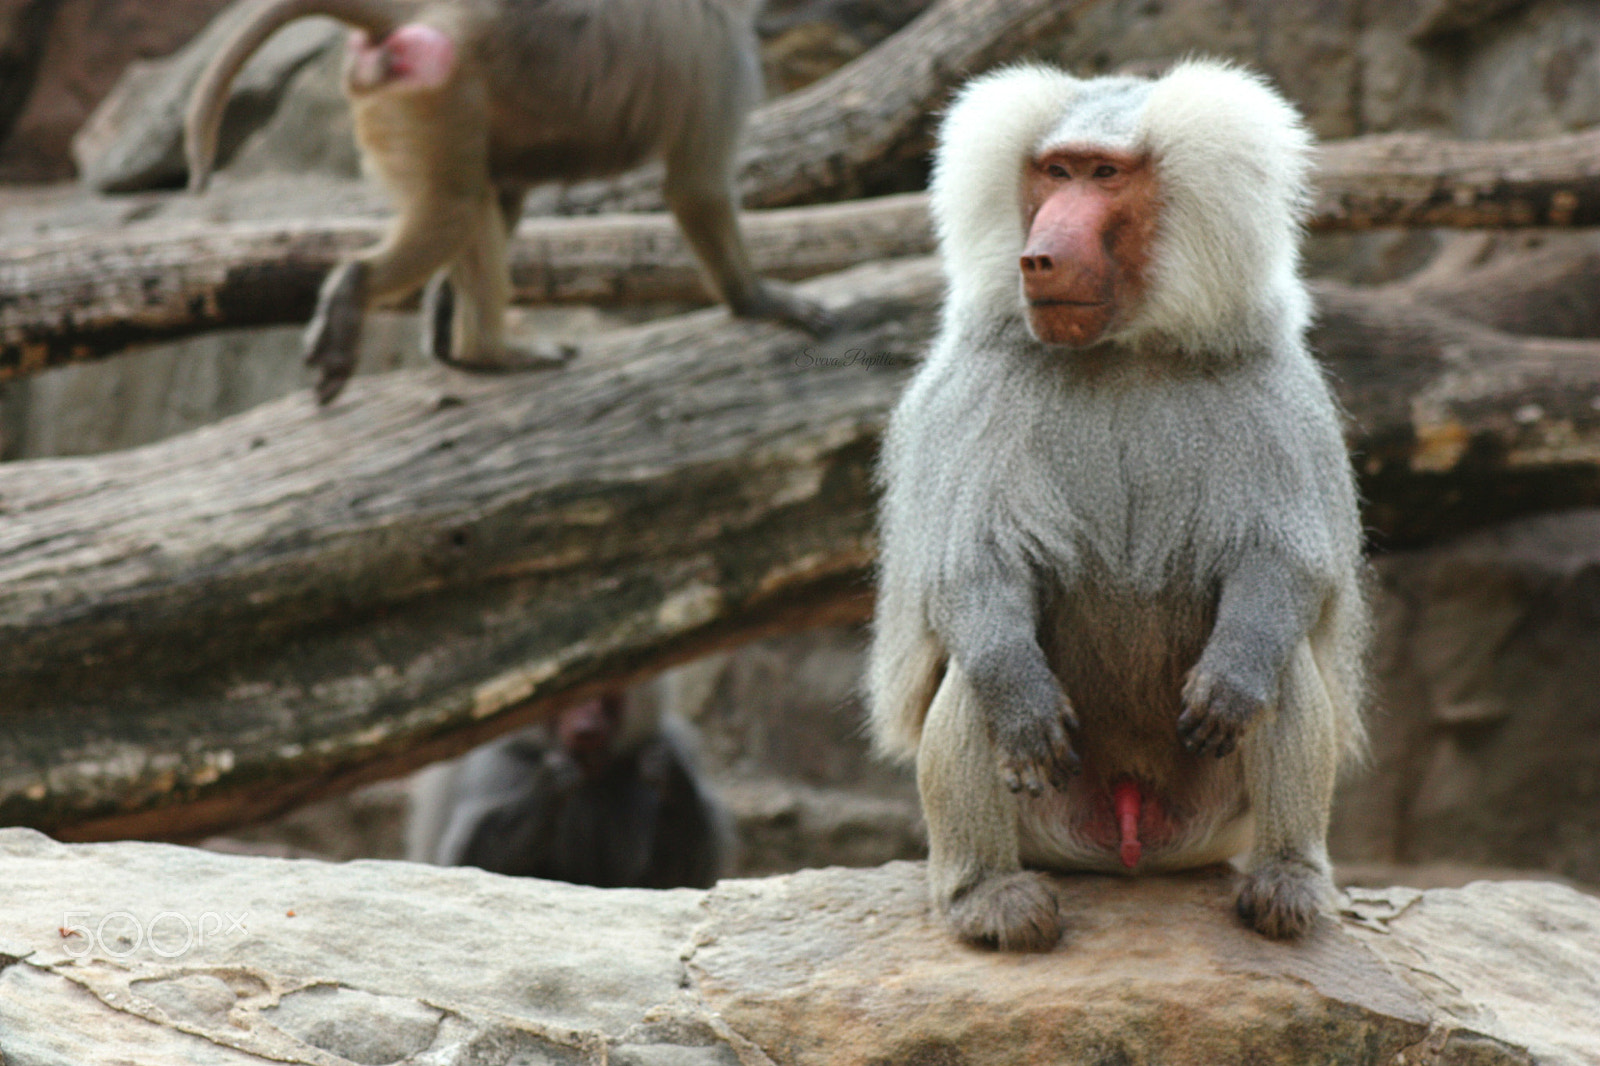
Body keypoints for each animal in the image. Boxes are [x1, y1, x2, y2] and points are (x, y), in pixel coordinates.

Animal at [185, 0, 834, 405]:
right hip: (436, 94)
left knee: (484, 198)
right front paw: (762, 302)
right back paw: (456, 335)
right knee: (456, 210)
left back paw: (465, 349)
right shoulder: (725, 58)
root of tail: (417, 15)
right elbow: (696, 190)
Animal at [408, 692, 733, 888]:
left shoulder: (674, 743)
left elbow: (678, 877)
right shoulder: (497, 763)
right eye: (569, 698)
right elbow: (472, 858)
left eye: (603, 695)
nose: (585, 730)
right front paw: (551, 783)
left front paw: (673, 780)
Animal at [867, 60, 1368, 952]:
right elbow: (969, 572)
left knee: (1285, 659)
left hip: (1214, 819)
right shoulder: (972, 390)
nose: (1038, 258)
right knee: (973, 670)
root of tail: (1132, 840)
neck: (1125, 351)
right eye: (1053, 172)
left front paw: (1233, 679)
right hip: (1050, 819)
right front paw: (1021, 704)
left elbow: (1284, 567)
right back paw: (987, 898)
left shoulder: (1274, 392)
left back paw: (1289, 883)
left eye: (1104, 174)